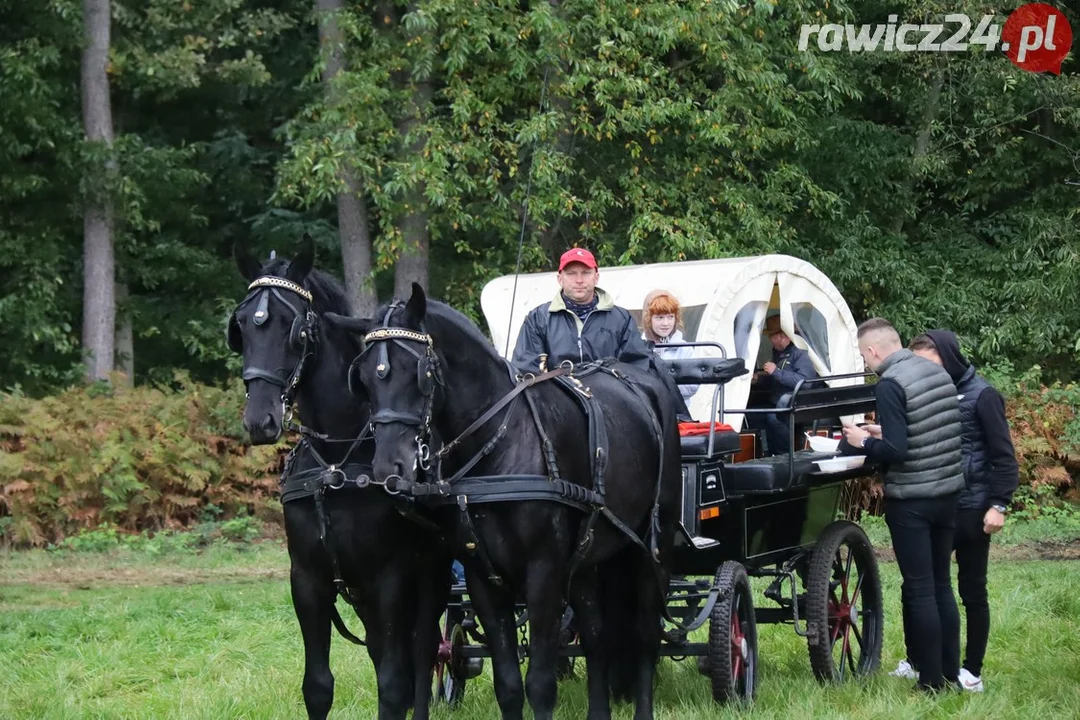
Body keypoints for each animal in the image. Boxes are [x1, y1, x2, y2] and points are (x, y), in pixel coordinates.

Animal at [226, 239, 451, 716]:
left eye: (294, 327)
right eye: (242, 325)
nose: (259, 420)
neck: (336, 464)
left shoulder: (391, 578)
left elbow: (394, 683)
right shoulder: (307, 579)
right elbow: (318, 685)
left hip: (430, 577)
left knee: (424, 652)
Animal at [324, 284, 682, 716]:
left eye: (419, 374)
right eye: (362, 379)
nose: (388, 467)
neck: (500, 442)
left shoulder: (543, 574)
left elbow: (540, 683)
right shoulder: (483, 577)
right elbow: (509, 685)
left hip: (651, 548)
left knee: (645, 634)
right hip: (589, 558)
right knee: (597, 634)